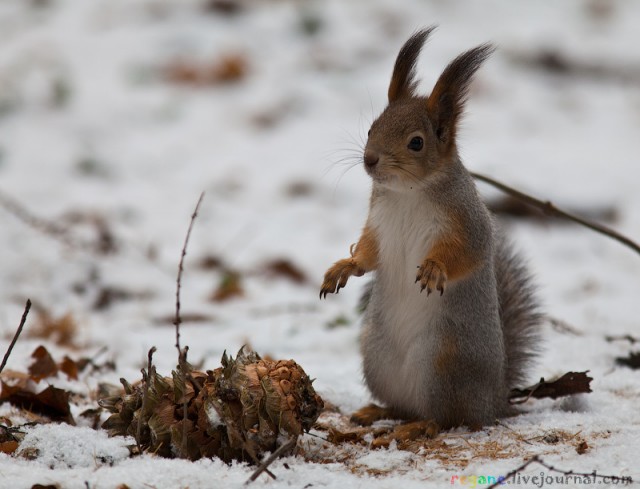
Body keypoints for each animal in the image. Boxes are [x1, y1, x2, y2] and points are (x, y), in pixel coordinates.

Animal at [320, 28, 540, 428]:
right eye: (373, 127)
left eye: (416, 142)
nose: (369, 159)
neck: (408, 192)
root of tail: (493, 400)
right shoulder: (379, 223)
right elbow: (370, 254)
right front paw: (344, 267)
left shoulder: (467, 221)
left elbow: (469, 252)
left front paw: (436, 268)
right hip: (376, 356)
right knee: (404, 406)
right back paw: (378, 411)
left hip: (443, 361)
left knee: (445, 418)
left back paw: (418, 427)